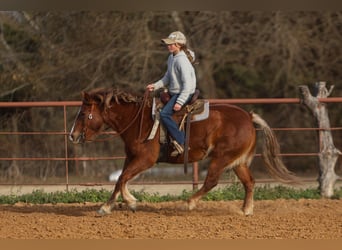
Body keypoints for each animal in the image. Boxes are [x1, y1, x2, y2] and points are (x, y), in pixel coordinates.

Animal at [69, 87, 296, 215]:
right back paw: (246, 210)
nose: (72, 135)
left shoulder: (146, 158)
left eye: (83, 113)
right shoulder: (131, 157)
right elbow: (120, 179)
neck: (137, 120)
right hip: (237, 162)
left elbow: (122, 178)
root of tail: (248, 117)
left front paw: (119, 204)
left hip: (221, 158)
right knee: (249, 182)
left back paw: (188, 203)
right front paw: (120, 204)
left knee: (211, 181)